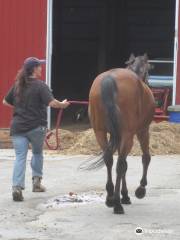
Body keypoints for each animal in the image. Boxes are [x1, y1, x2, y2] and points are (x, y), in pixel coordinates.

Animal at [88, 54, 155, 214]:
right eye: (148, 70)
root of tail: (109, 79)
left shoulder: (116, 136)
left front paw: (124, 195)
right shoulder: (142, 131)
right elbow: (145, 158)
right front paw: (140, 189)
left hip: (100, 132)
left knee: (109, 160)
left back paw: (110, 198)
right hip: (128, 135)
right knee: (120, 164)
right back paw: (117, 204)